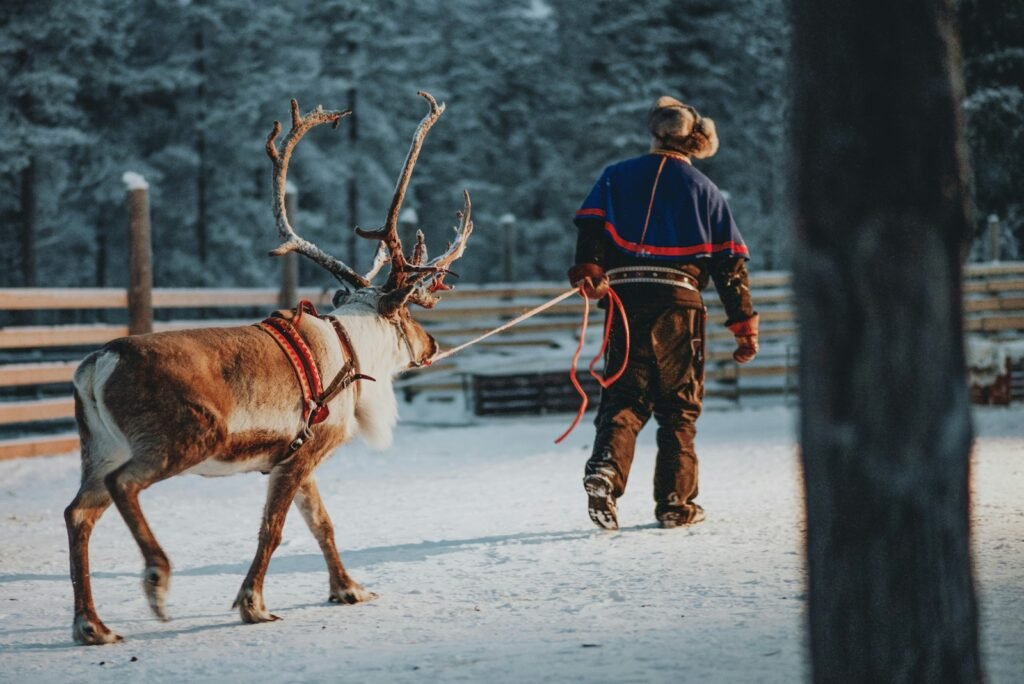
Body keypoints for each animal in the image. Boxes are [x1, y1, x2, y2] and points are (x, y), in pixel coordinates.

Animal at [64, 92, 473, 645]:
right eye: (409, 314)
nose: (433, 343)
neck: (352, 347)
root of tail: (98, 364)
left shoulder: (298, 456)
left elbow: (322, 523)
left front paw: (349, 589)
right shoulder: (300, 455)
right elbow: (273, 530)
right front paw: (252, 604)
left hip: (100, 447)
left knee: (78, 512)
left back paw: (93, 625)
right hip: (184, 437)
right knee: (123, 486)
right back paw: (156, 578)